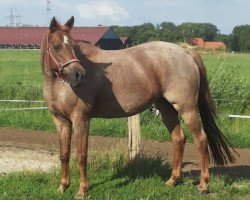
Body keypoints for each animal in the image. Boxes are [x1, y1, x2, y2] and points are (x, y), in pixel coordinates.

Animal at [41, 16, 236, 198]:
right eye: (56, 46)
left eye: (73, 46)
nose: (79, 74)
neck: (59, 85)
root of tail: (187, 53)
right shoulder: (61, 121)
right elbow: (64, 154)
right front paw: (62, 187)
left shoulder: (81, 119)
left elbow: (81, 155)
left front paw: (82, 191)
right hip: (166, 108)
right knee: (178, 138)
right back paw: (172, 180)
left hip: (186, 108)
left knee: (200, 139)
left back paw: (203, 184)